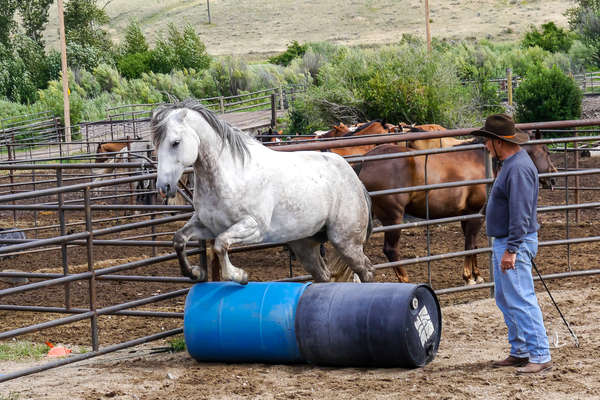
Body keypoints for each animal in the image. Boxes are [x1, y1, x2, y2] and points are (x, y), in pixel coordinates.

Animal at [151, 100, 376, 284]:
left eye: (175, 142)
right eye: (156, 145)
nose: (164, 187)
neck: (232, 174)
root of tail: (354, 178)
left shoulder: (254, 227)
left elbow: (221, 245)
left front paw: (240, 276)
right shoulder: (208, 226)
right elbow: (179, 240)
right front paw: (195, 273)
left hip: (346, 241)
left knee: (366, 271)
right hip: (305, 245)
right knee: (324, 276)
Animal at [352, 137, 556, 284]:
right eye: (545, 151)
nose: (553, 177)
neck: (481, 162)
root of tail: (365, 163)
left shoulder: (466, 215)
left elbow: (473, 244)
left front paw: (476, 274)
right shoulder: (475, 214)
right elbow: (469, 244)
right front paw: (468, 277)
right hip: (393, 219)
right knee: (390, 250)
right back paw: (405, 280)